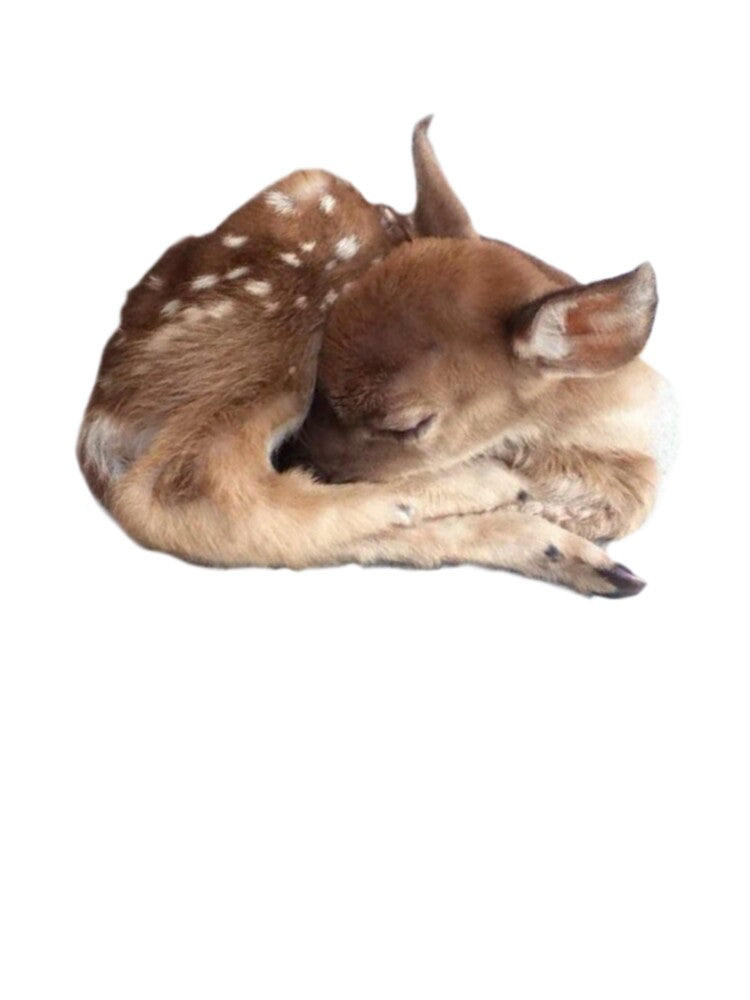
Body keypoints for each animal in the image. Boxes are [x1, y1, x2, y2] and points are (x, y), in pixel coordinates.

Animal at [78, 119, 675, 596]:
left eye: (407, 426)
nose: (301, 456)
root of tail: (100, 419)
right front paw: (511, 489)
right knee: (187, 489)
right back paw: (494, 493)